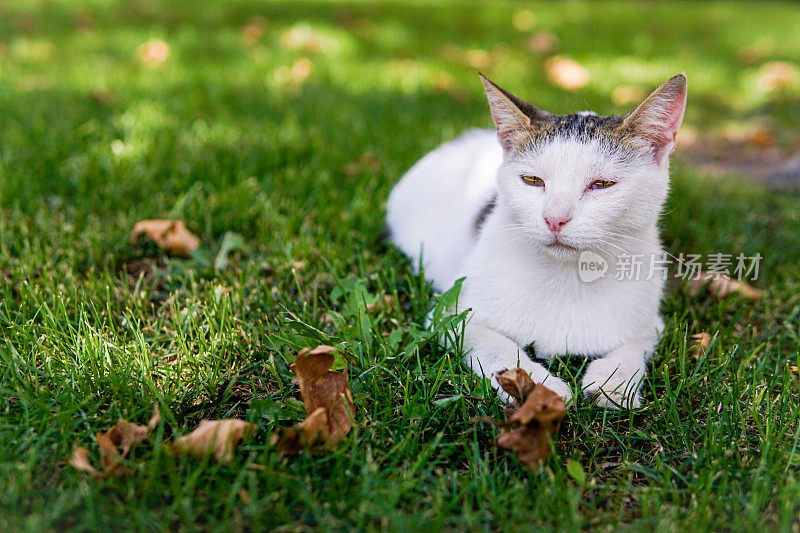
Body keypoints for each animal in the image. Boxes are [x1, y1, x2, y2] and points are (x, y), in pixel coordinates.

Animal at [384, 74, 684, 408]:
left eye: (602, 184)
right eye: (532, 181)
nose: (555, 218)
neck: (568, 277)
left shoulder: (652, 322)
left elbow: (636, 343)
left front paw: (615, 380)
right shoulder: (448, 316)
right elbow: (495, 345)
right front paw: (537, 386)